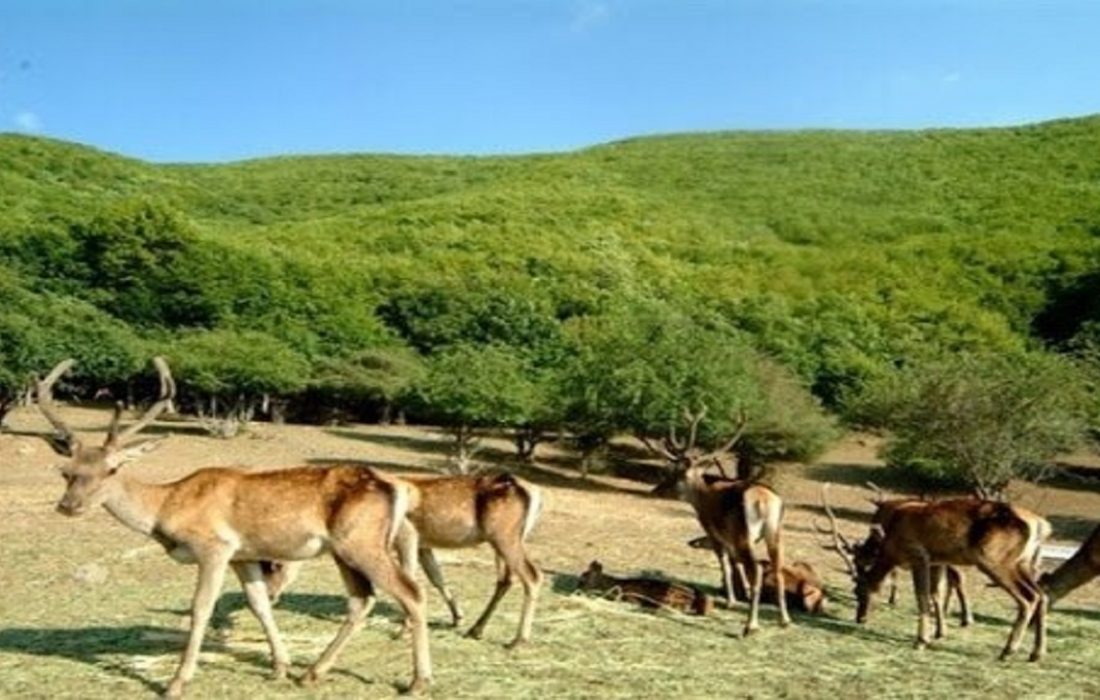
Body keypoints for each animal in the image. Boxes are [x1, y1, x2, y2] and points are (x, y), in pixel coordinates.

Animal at [34, 358, 429, 695]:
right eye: (67, 471)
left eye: (112, 469)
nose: (69, 506)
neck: (166, 507)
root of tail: (396, 487)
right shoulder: (244, 555)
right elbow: (259, 604)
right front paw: (280, 667)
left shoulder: (215, 547)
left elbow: (201, 607)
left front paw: (177, 682)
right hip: (344, 550)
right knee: (362, 600)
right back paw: (311, 673)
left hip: (361, 542)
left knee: (411, 592)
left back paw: (417, 682)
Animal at [262, 466, 545, 647]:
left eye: (277, 564)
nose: (271, 596)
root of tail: (536, 492)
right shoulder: (424, 544)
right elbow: (436, 578)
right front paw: (456, 617)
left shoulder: (407, 533)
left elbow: (410, 577)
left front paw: (403, 630)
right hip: (501, 539)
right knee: (506, 579)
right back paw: (476, 629)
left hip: (505, 535)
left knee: (532, 575)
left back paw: (518, 640)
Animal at [827, 488, 1051, 660]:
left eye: (858, 590)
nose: (860, 618)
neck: (890, 544)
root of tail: (1041, 525)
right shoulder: (937, 561)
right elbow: (936, 593)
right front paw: (939, 633)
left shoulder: (918, 556)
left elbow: (922, 596)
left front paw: (921, 641)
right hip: (1024, 563)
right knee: (1042, 594)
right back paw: (1036, 654)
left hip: (994, 561)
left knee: (1028, 597)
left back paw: (1007, 651)